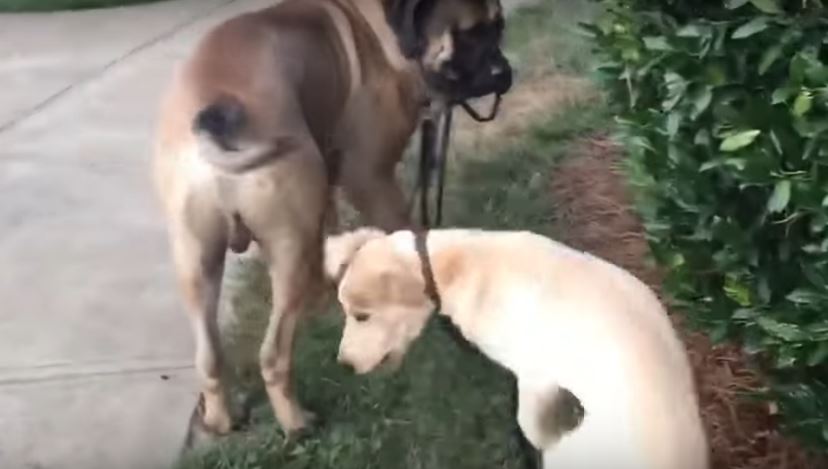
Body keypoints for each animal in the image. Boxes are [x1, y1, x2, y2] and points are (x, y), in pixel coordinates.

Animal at [151, 0, 508, 436]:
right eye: (470, 34)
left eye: (499, 26)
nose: (503, 73)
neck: (380, 31)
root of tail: (213, 115)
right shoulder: (370, 178)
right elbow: (407, 237)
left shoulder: (330, 180)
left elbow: (332, 231)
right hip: (288, 242)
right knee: (273, 355)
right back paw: (296, 422)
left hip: (196, 258)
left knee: (210, 357)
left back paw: (222, 419)